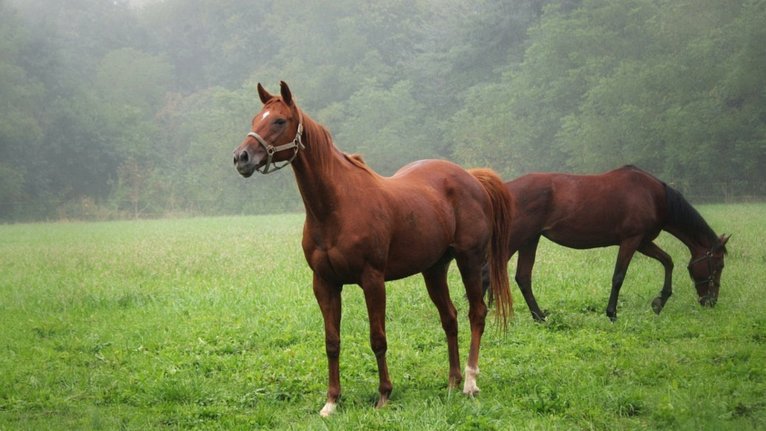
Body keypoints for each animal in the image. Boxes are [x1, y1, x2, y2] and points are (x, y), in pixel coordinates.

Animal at [232, 81, 514, 416]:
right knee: (450, 318)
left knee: (477, 313)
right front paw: (331, 401)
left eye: (278, 121)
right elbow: (332, 341)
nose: (241, 157)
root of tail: (471, 177)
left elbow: (378, 338)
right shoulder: (325, 284)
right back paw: (452, 381)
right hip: (434, 269)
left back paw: (470, 382)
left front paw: (383, 395)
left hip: (469, 259)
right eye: (255, 119)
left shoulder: (373, 280)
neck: (335, 207)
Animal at [481, 165, 729, 322]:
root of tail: (505, 189)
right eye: (719, 265)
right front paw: (611, 313)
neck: (653, 196)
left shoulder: (643, 242)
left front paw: (659, 302)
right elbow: (618, 277)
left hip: (530, 240)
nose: (711, 301)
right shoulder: (631, 240)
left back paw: (539, 316)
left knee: (522, 277)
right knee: (489, 272)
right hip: (516, 238)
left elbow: (668, 261)